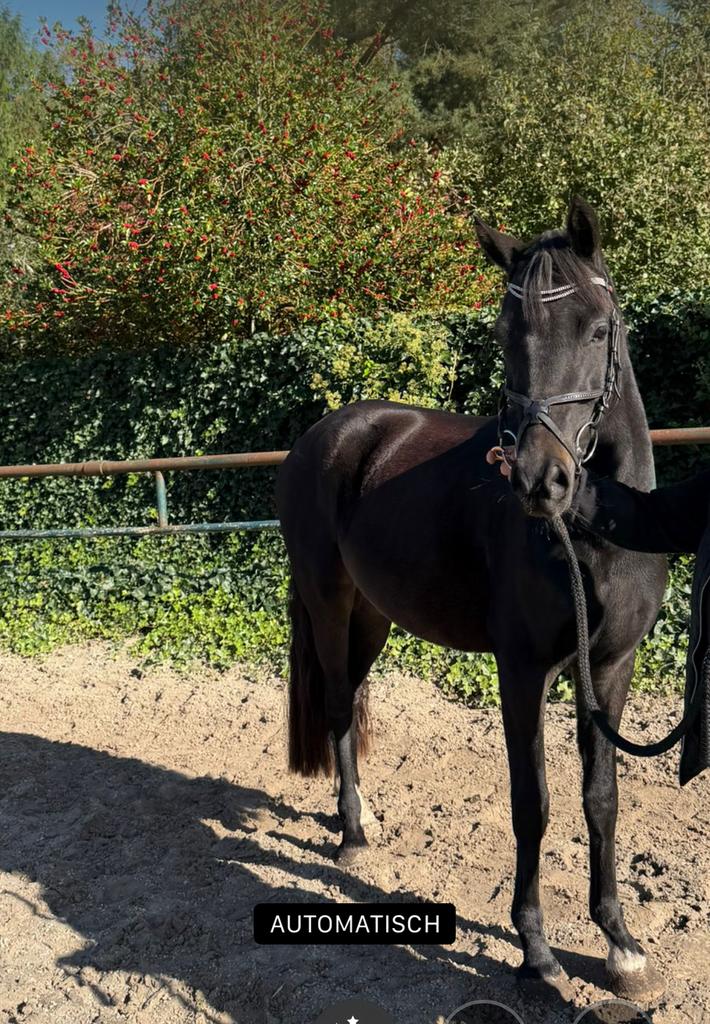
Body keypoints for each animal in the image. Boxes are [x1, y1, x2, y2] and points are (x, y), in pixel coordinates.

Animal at [275, 196, 668, 1003]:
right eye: (503, 334)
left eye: (599, 329)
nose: (539, 480)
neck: (596, 534)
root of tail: (327, 433)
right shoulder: (521, 672)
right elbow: (533, 802)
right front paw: (537, 953)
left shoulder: (611, 668)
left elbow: (602, 798)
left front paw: (620, 946)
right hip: (328, 602)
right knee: (334, 705)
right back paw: (352, 836)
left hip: (374, 615)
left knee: (349, 697)